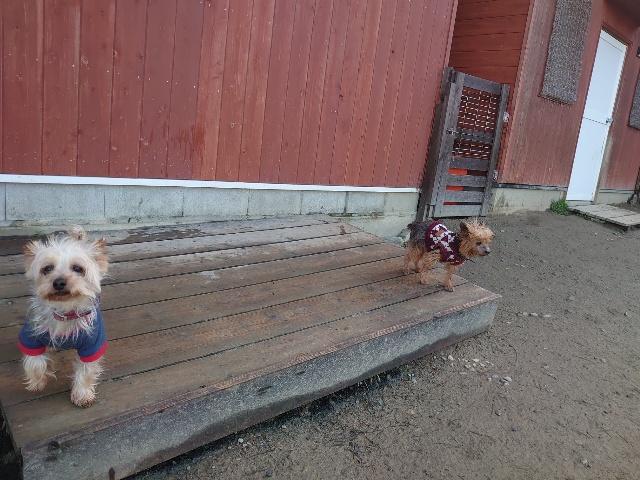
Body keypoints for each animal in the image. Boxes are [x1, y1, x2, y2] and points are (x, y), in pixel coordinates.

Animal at [18, 225, 108, 407]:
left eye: (78, 268)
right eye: (47, 268)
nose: (59, 282)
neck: (65, 312)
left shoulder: (92, 344)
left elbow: (86, 371)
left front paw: (82, 394)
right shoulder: (30, 335)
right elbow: (35, 362)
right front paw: (38, 381)